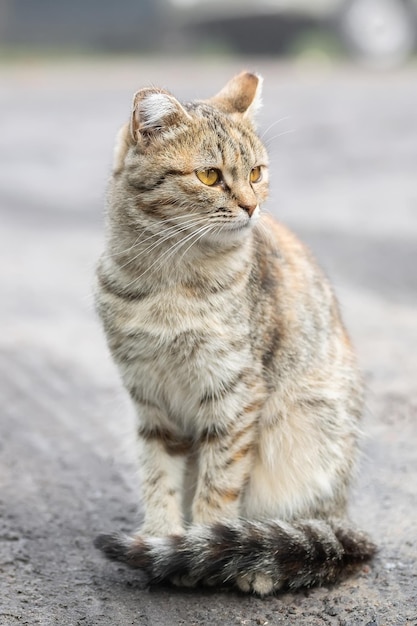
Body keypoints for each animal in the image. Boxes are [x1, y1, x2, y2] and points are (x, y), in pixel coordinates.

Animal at [93, 70, 374, 592]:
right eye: (209, 176)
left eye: (257, 173)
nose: (250, 206)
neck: (168, 279)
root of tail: (344, 512)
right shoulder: (150, 398)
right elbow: (158, 478)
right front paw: (162, 536)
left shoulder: (235, 394)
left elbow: (218, 485)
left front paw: (198, 547)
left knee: (301, 533)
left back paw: (254, 564)